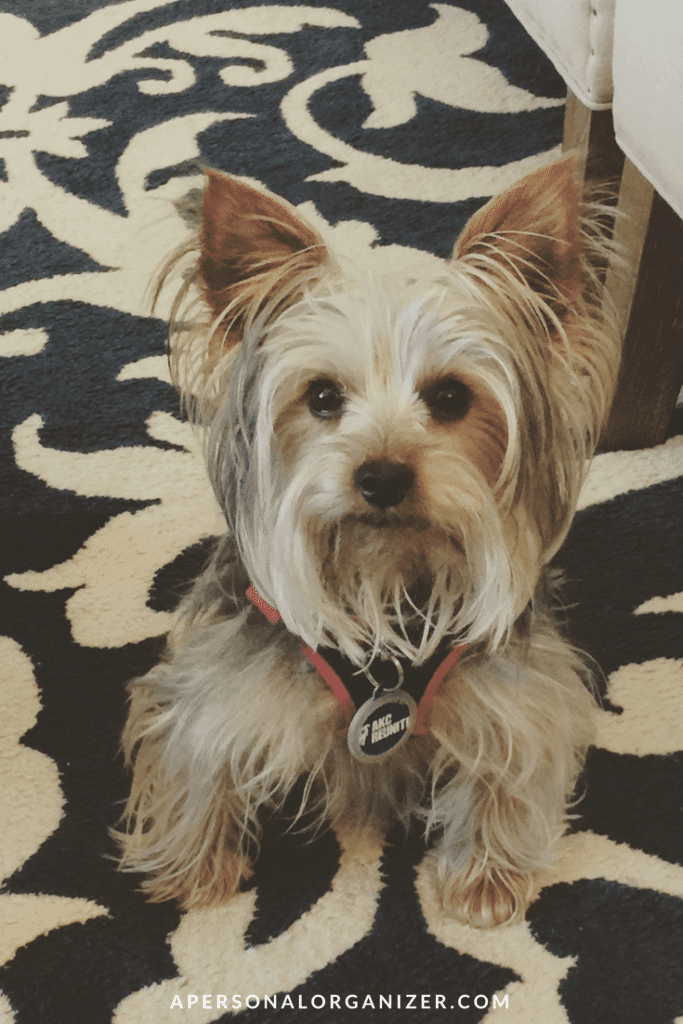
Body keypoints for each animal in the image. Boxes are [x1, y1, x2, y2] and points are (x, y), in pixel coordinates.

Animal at [117, 157, 618, 929]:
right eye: (322, 397)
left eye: (450, 398)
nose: (381, 475)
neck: (382, 581)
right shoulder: (211, 679)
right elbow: (196, 751)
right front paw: (194, 863)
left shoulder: (521, 688)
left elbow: (516, 754)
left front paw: (486, 873)